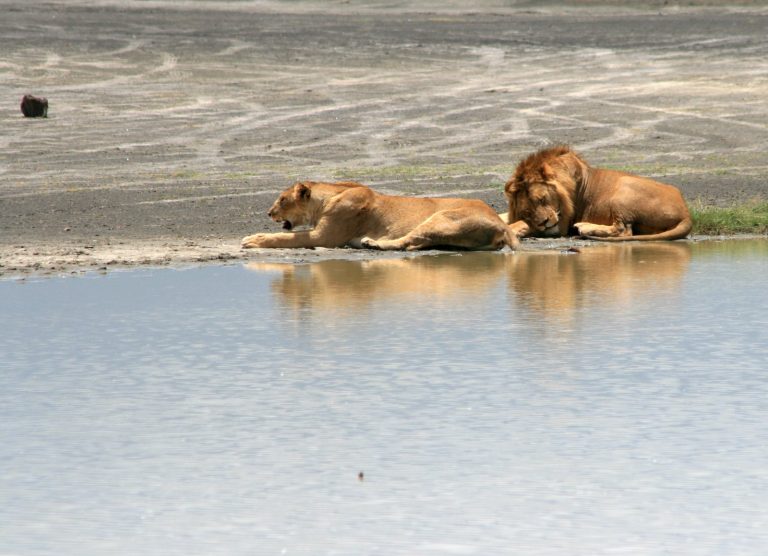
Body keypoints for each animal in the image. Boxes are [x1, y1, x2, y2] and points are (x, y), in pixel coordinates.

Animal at [241, 180, 517, 251]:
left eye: (282, 199)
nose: (269, 212)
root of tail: (502, 224)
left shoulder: (324, 237)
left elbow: (288, 238)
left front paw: (254, 239)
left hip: (442, 217)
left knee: (407, 241)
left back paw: (372, 243)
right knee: (416, 243)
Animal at [502, 145, 692, 241]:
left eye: (542, 199)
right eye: (528, 211)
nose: (544, 223)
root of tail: (686, 213)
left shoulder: (561, 225)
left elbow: (521, 223)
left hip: (624, 187)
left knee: (623, 230)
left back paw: (584, 227)